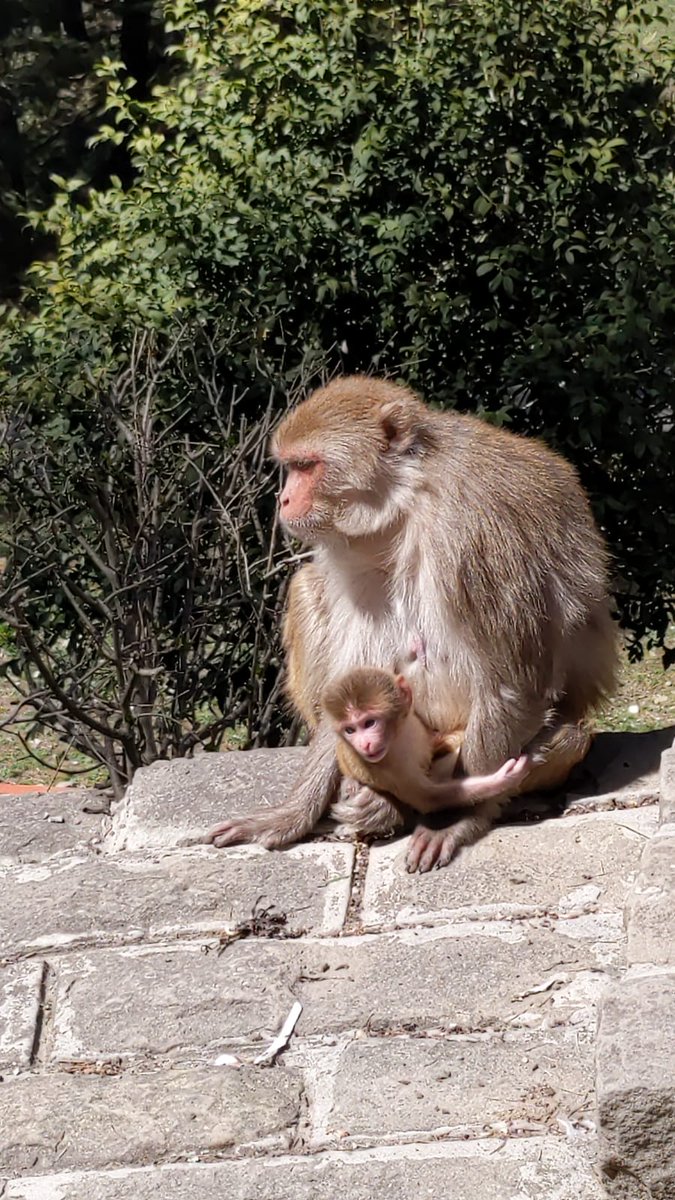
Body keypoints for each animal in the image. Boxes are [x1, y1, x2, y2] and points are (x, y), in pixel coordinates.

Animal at [322, 667, 531, 813]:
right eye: (350, 730)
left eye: (369, 723)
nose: (364, 744)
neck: (397, 739)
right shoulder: (384, 769)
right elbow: (429, 798)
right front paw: (503, 778)